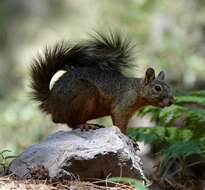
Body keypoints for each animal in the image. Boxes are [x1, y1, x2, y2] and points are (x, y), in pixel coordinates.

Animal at [30, 31, 173, 134]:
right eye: (157, 88)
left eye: (170, 87)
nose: (172, 101)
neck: (136, 89)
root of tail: (50, 100)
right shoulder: (123, 104)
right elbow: (120, 123)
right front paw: (129, 140)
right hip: (85, 93)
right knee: (69, 122)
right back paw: (86, 125)